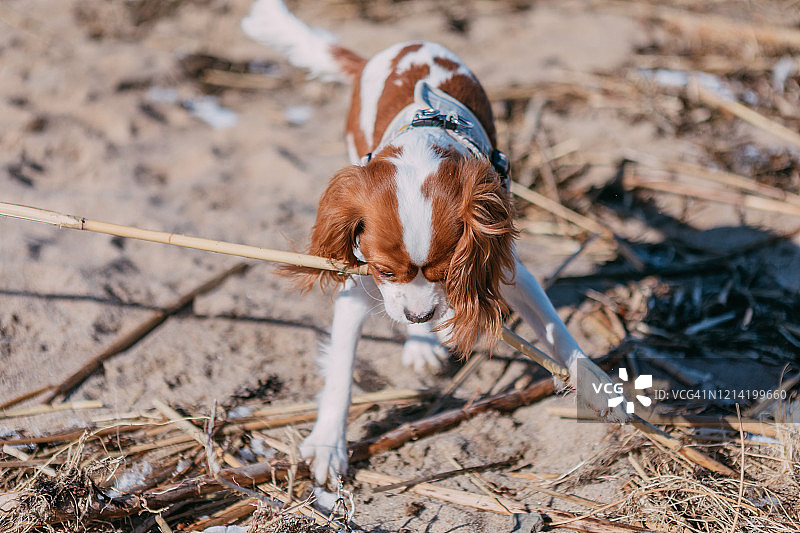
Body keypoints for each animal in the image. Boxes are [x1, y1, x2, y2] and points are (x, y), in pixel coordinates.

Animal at [241, 0, 620, 482]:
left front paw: (595, 385)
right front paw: (329, 441)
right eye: (384, 270)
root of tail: (400, 47)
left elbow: (557, 331)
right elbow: (341, 367)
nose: (419, 315)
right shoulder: (360, 281)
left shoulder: (504, 265)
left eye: (446, 272)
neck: (422, 145)